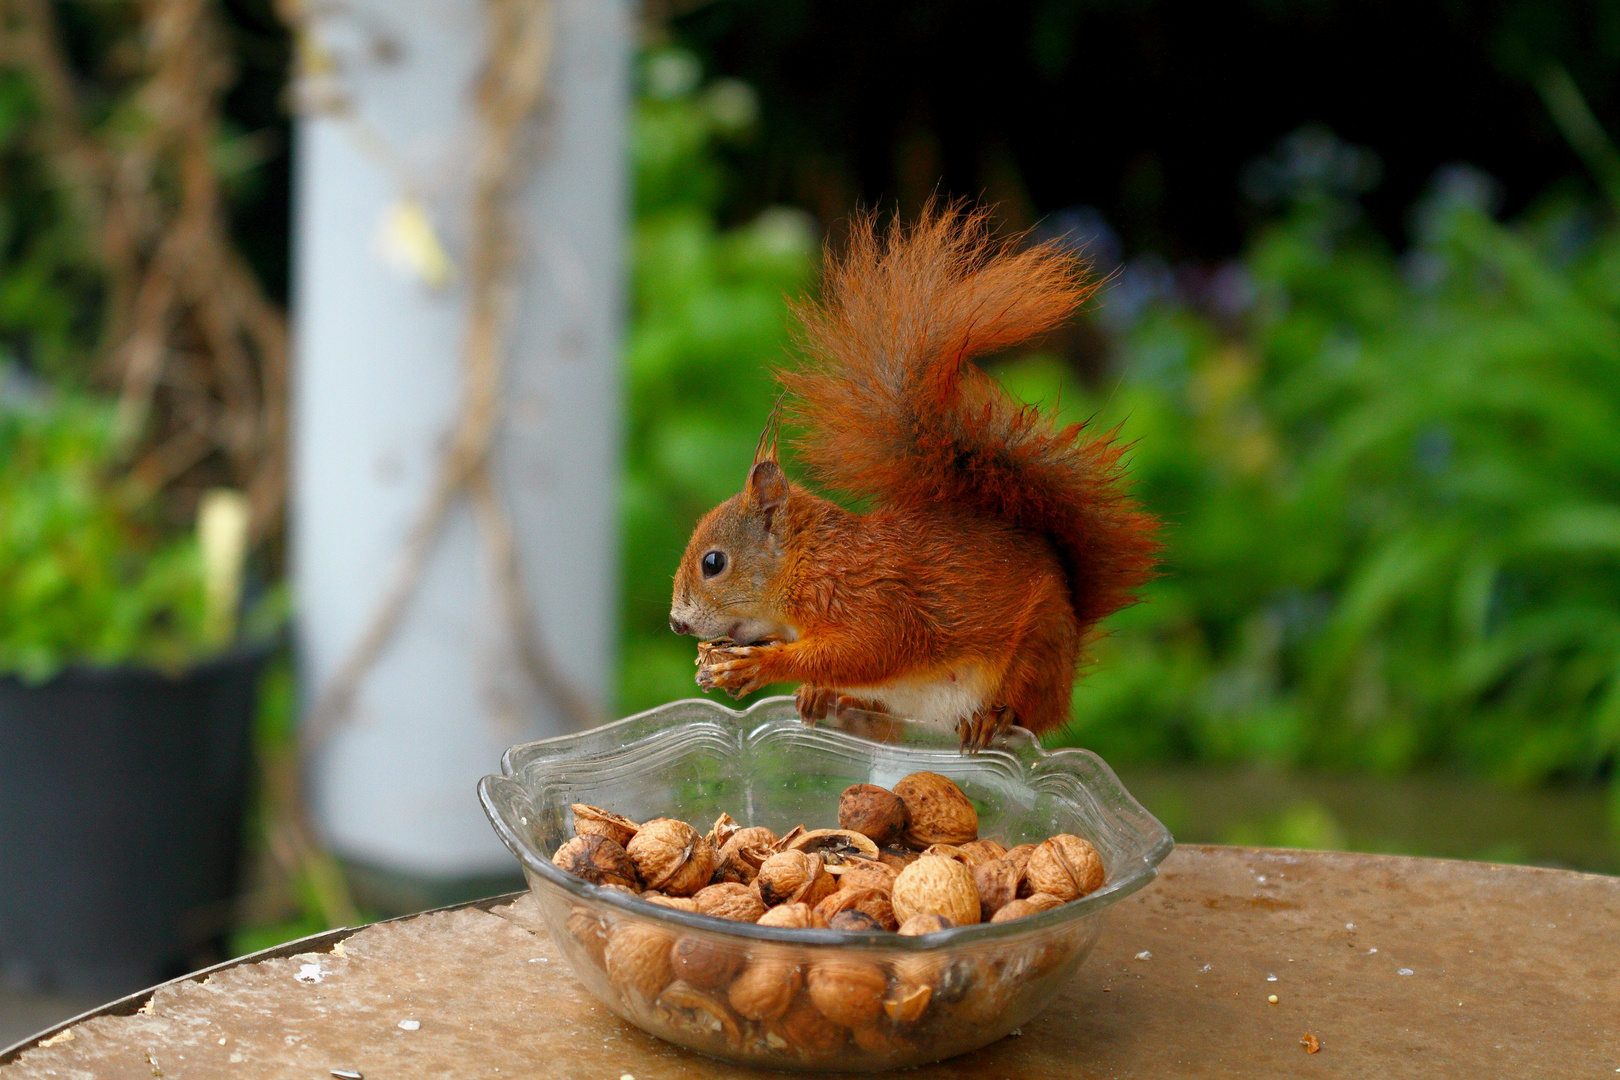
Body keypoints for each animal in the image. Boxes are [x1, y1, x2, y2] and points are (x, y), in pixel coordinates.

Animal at [670, 208, 1166, 751]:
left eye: (713, 563)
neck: (810, 563)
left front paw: (760, 665)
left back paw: (991, 719)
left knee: (1024, 708)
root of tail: (1074, 637)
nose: (676, 623)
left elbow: (868, 651)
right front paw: (802, 683)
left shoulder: (875, 601)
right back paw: (836, 701)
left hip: (1037, 651)